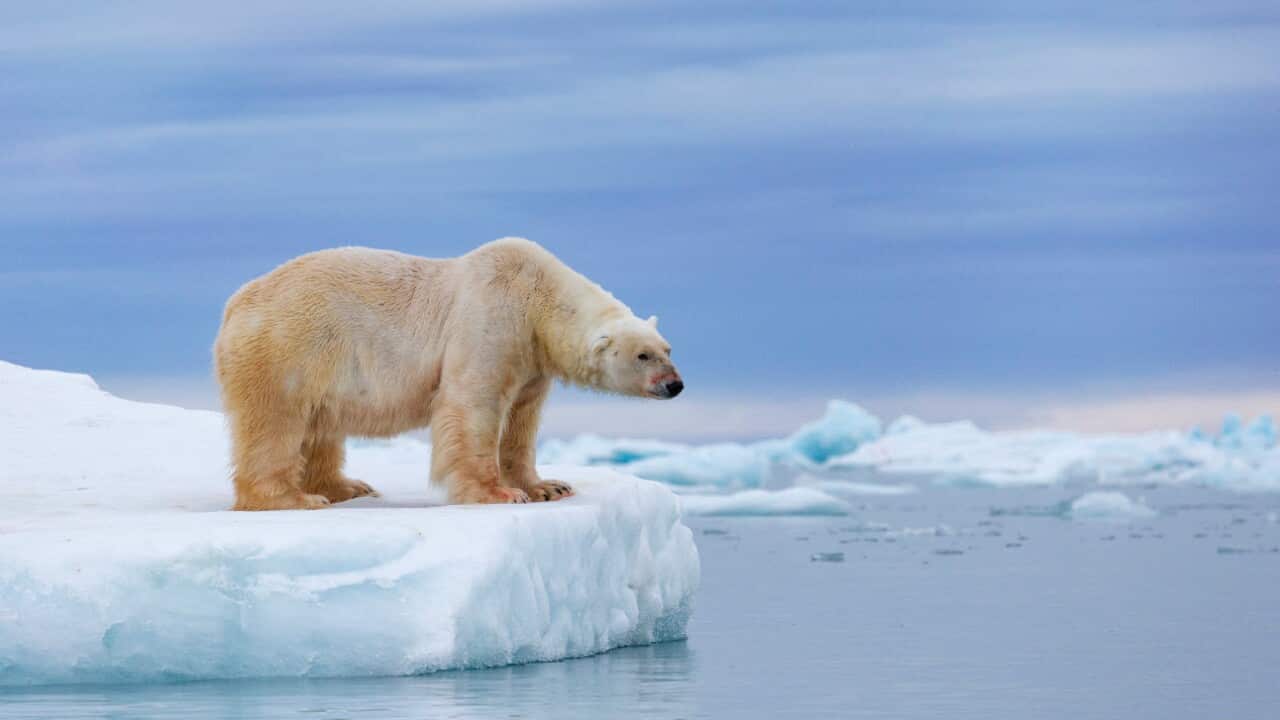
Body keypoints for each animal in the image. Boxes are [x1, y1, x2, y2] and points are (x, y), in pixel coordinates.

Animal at [213, 237, 683, 510]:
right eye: (643, 356)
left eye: (667, 350)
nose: (675, 385)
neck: (538, 299)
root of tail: (236, 303)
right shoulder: (492, 321)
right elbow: (473, 405)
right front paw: (499, 494)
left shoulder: (531, 360)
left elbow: (522, 421)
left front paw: (548, 486)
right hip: (289, 348)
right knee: (277, 423)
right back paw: (295, 498)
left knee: (321, 426)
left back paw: (348, 487)